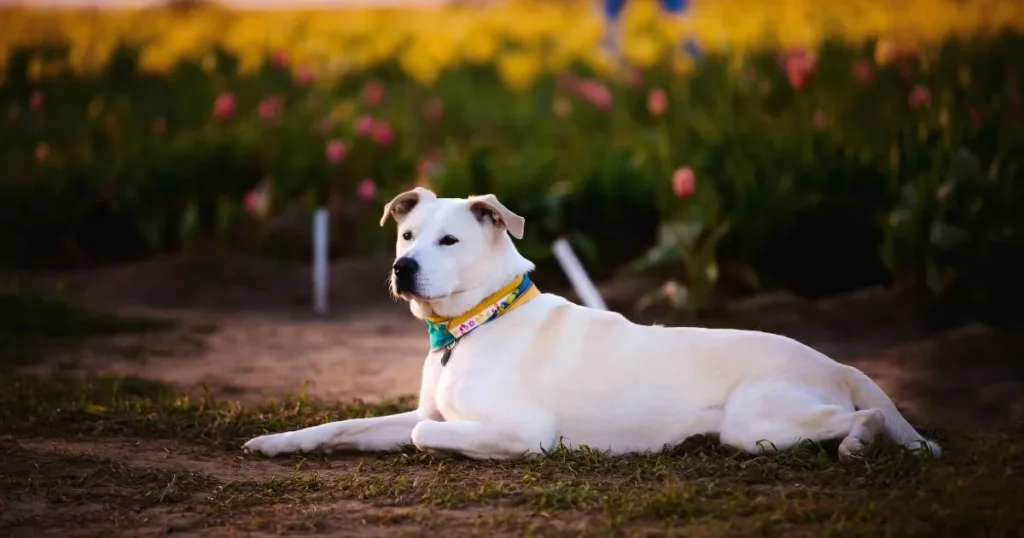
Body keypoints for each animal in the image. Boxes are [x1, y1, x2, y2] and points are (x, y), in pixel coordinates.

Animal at [241, 186, 942, 459]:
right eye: (407, 235)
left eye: (449, 241)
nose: (403, 269)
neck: (474, 324)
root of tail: (833, 361)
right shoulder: (424, 411)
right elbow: (344, 426)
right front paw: (276, 442)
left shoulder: (520, 432)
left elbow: (421, 437)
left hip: (757, 424)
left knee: (866, 416)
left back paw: (856, 444)